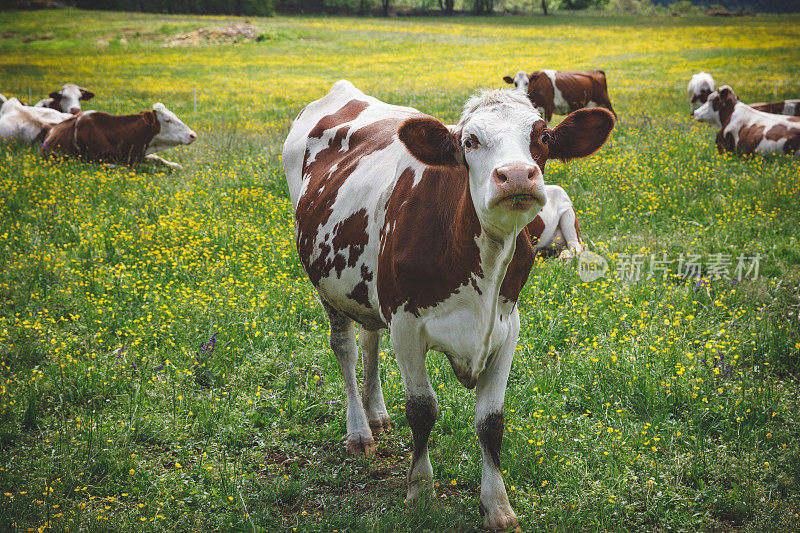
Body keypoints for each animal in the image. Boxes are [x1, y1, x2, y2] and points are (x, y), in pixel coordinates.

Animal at [282, 79, 612, 528]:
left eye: (543, 137)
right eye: (470, 141)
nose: (516, 175)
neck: (483, 263)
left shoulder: (508, 327)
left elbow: (491, 421)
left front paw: (497, 506)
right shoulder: (406, 325)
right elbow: (422, 409)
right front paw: (420, 489)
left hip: (366, 289)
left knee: (370, 342)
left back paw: (376, 415)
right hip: (327, 287)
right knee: (346, 350)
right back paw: (359, 432)